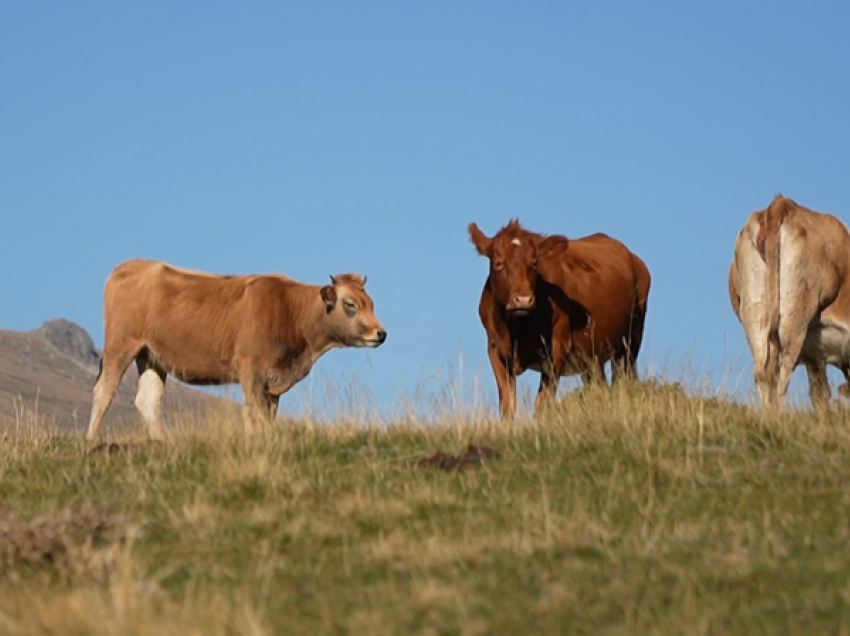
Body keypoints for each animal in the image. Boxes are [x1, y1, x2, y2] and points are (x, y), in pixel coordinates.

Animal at [85, 256, 384, 440]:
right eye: (350, 304)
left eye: (371, 303)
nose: (380, 333)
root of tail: (133, 264)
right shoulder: (250, 370)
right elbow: (254, 414)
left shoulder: (273, 381)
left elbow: (267, 417)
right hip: (120, 345)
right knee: (104, 391)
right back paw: (90, 440)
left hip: (151, 356)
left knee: (147, 400)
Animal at [470, 219, 648, 418]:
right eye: (498, 263)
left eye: (534, 263)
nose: (523, 299)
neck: (515, 330)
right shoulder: (495, 349)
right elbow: (507, 406)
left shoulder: (557, 347)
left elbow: (543, 403)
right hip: (592, 358)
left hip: (629, 344)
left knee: (624, 382)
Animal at [724, 191, 848, 408]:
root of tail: (782, 204)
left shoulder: (815, 358)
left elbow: (820, 394)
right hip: (795, 317)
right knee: (781, 371)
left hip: (755, 312)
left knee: (763, 373)